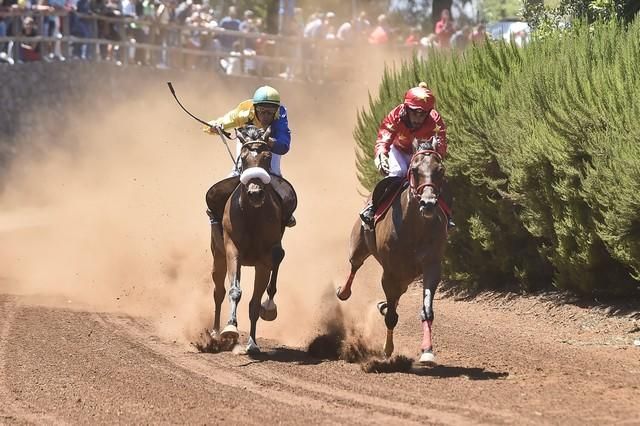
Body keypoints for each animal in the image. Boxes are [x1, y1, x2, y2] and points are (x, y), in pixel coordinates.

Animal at [208, 125, 298, 354]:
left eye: (267, 157)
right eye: (243, 156)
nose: (255, 193)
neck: (252, 216)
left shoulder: (264, 260)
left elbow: (255, 302)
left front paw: (252, 343)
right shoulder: (232, 250)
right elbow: (234, 290)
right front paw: (230, 328)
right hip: (218, 254)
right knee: (218, 291)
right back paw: (214, 333)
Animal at [338, 138, 448, 364]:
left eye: (440, 170)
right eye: (414, 170)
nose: (428, 203)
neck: (414, 228)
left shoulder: (432, 266)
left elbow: (427, 310)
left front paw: (427, 351)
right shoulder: (389, 271)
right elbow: (391, 317)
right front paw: (387, 350)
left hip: (406, 276)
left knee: (397, 295)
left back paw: (384, 305)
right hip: (359, 245)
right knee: (355, 265)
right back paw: (344, 292)